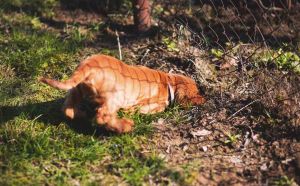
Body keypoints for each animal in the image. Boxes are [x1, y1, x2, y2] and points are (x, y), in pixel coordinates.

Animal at [39, 54, 205, 133]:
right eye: (196, 92)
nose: (204, 98)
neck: (168, 82)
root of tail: (88, 66)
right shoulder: (152, 105)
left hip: (75, 90)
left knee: (68, 110)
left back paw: (85, 114)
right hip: (114, 97)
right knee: (102, 117)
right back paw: (124, 126)